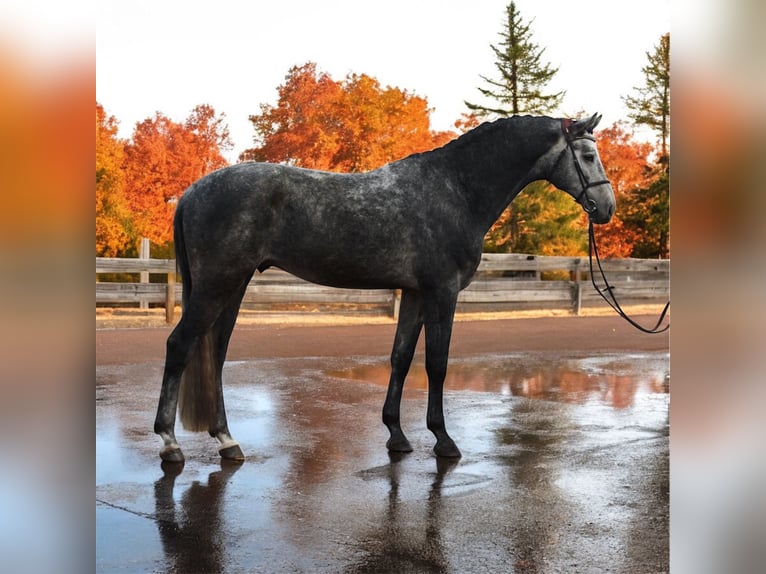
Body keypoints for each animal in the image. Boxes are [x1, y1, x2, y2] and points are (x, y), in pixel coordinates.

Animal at [154, 113, 615, 462]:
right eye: (587, 155)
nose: (606, 209)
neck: (455, 189)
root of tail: (191, 193)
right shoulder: (442, 293)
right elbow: (436, 364)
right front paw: (443, 440)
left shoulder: (413, 294)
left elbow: (400, 358)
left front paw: (397, 434)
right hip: (218, 285)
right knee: (179, 345)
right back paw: (170, 443)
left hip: (232, 287)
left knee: (214, 354)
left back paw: (226, 440)